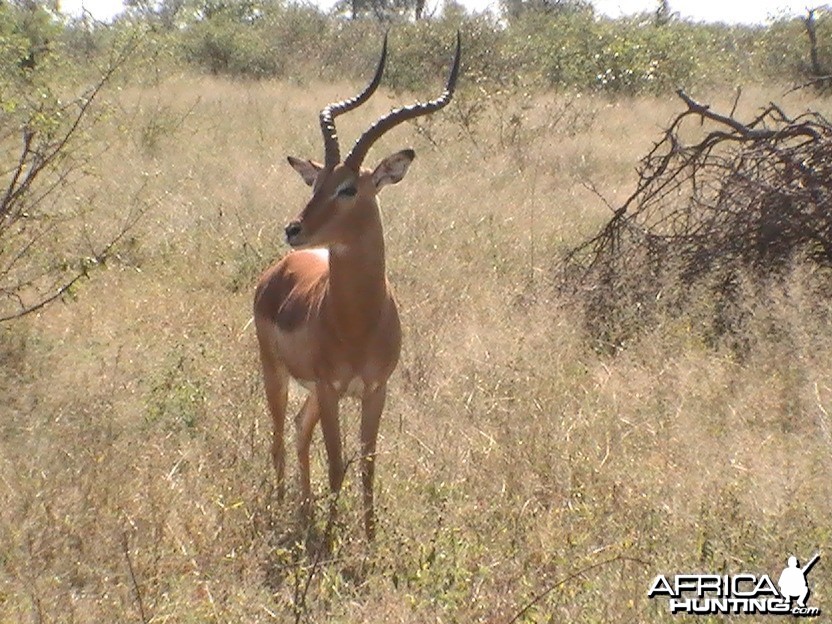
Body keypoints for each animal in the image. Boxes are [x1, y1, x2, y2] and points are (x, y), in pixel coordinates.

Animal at [254, 33, 462, 536]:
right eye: (316, 183)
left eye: (349, 188)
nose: (294, 229)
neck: (358, 321)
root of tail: (277, 272)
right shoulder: (333, 388)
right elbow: (336, 463)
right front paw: (331, 542)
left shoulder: (373, 389)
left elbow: (366, 464)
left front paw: (367, 540)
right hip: (276, 374)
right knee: (278, 436)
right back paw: (283, 507)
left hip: (311, 392)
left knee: (298, 428)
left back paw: (305, 510)